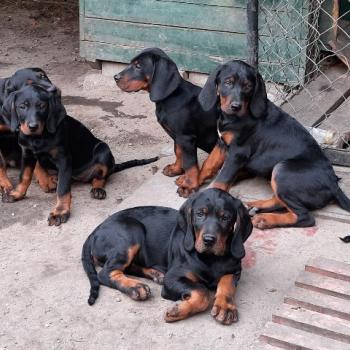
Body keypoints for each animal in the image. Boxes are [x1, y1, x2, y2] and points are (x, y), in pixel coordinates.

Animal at [0, 67, 59, 196]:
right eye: (28, 85)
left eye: (43, 76)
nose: (54, 90)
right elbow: (0, 163)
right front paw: (3, 184)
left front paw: (45, 179)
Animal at [2, 83, 158, 226]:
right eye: (22, 106)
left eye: (42, 106)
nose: (33, 126)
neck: (38, 138)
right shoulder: (27, 155)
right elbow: (24, 177)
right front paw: (17, 194)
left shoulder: (63, 159)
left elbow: (63, 190)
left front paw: (60, 212)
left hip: (104, 151)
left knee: (100, 176)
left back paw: (98, 189)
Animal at [81, 189, 252, 326]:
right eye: (200, 214)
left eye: (225, 218)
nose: (209, 240)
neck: (210, 259)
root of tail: (95, 231)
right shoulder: (173, 278)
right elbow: (202, 292)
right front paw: (177, 310)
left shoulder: (234, 271)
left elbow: (227, 285)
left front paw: (225, 307)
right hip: (131, 231)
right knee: (106, 273)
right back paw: (135, 287)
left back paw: (156, 274)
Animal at [115, 47, 224, 198]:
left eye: (138, 66)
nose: (115, 77)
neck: (170, 98)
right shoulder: (177, 136)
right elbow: (178, 152)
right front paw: (176, 169)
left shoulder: (186, 138)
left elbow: (190, 164)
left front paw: (189, 185)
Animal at [198, 60, 350, 230]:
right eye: (227, 82)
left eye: (248, 86)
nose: (236, 106)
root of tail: (334, 184)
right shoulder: (222, 143)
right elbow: (208, 164)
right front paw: (191, 184)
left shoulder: (237, 152)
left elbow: (220, 181)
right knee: (283, 201)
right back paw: (255, 206)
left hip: (282, 169)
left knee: (305, 216)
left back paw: (265, 219)